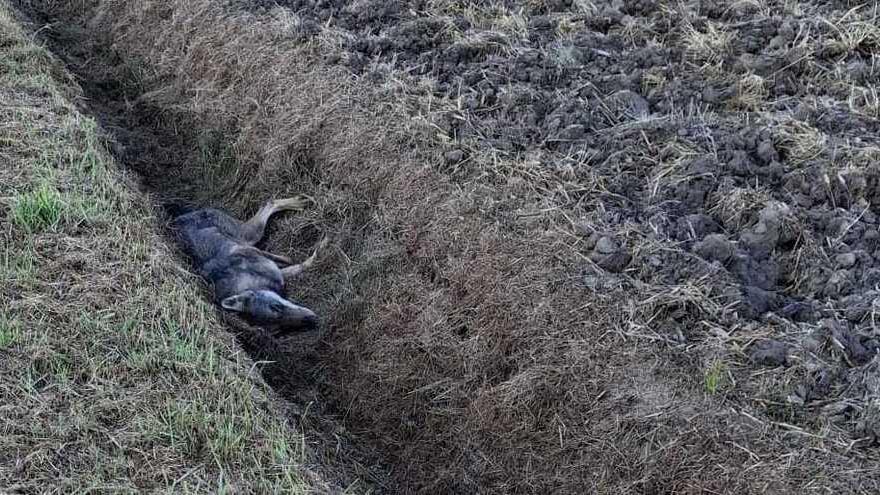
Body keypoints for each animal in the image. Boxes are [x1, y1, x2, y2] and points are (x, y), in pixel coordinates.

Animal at [169, 196, 327, 336]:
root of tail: (180, 217)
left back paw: (301, 201)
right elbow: (300, 265)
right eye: (281, 329)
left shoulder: (259, 253)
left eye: (276, 306)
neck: (250, 281)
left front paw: (323, 246)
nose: (312, 319)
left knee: (269, 202)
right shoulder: (279, 274)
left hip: (249, 235)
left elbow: (294, 261)